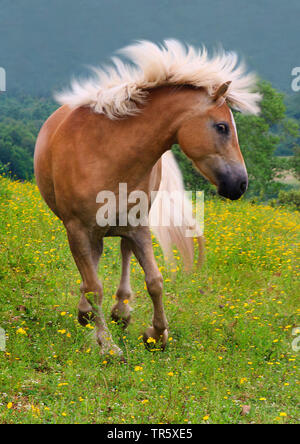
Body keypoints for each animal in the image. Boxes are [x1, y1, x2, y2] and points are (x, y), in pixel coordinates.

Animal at [34, 38, 260, 358]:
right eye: (222, 127)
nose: (240, 184)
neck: (106, 152)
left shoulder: (137, 226)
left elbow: (155, 281)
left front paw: (156, 334)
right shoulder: (77, 229)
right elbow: (94, 286)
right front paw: (107, 346)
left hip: (125, 226)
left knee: (122, 253)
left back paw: (119, 311)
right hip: (89, 232)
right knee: (94, 265)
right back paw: (90, 313)